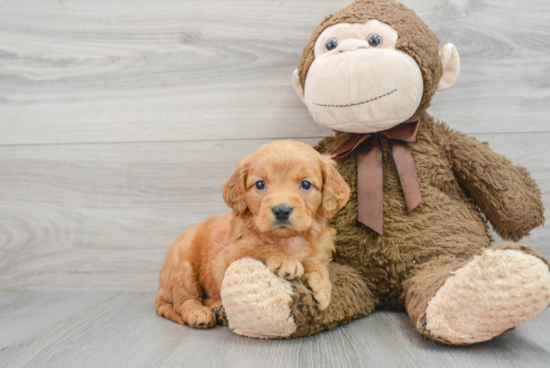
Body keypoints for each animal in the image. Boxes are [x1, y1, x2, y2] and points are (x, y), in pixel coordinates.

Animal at [155, 140, 354, 328]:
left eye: (305, 184)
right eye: (260, 184)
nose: (281, 210)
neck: (287, 239)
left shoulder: (321, 251)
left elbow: (315, 262)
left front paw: (322, 284)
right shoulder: (226, 257)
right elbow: (257, 246)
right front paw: (284, 259)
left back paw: (220, 310)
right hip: (182, 267)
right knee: (184, 301)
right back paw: (198, 314)